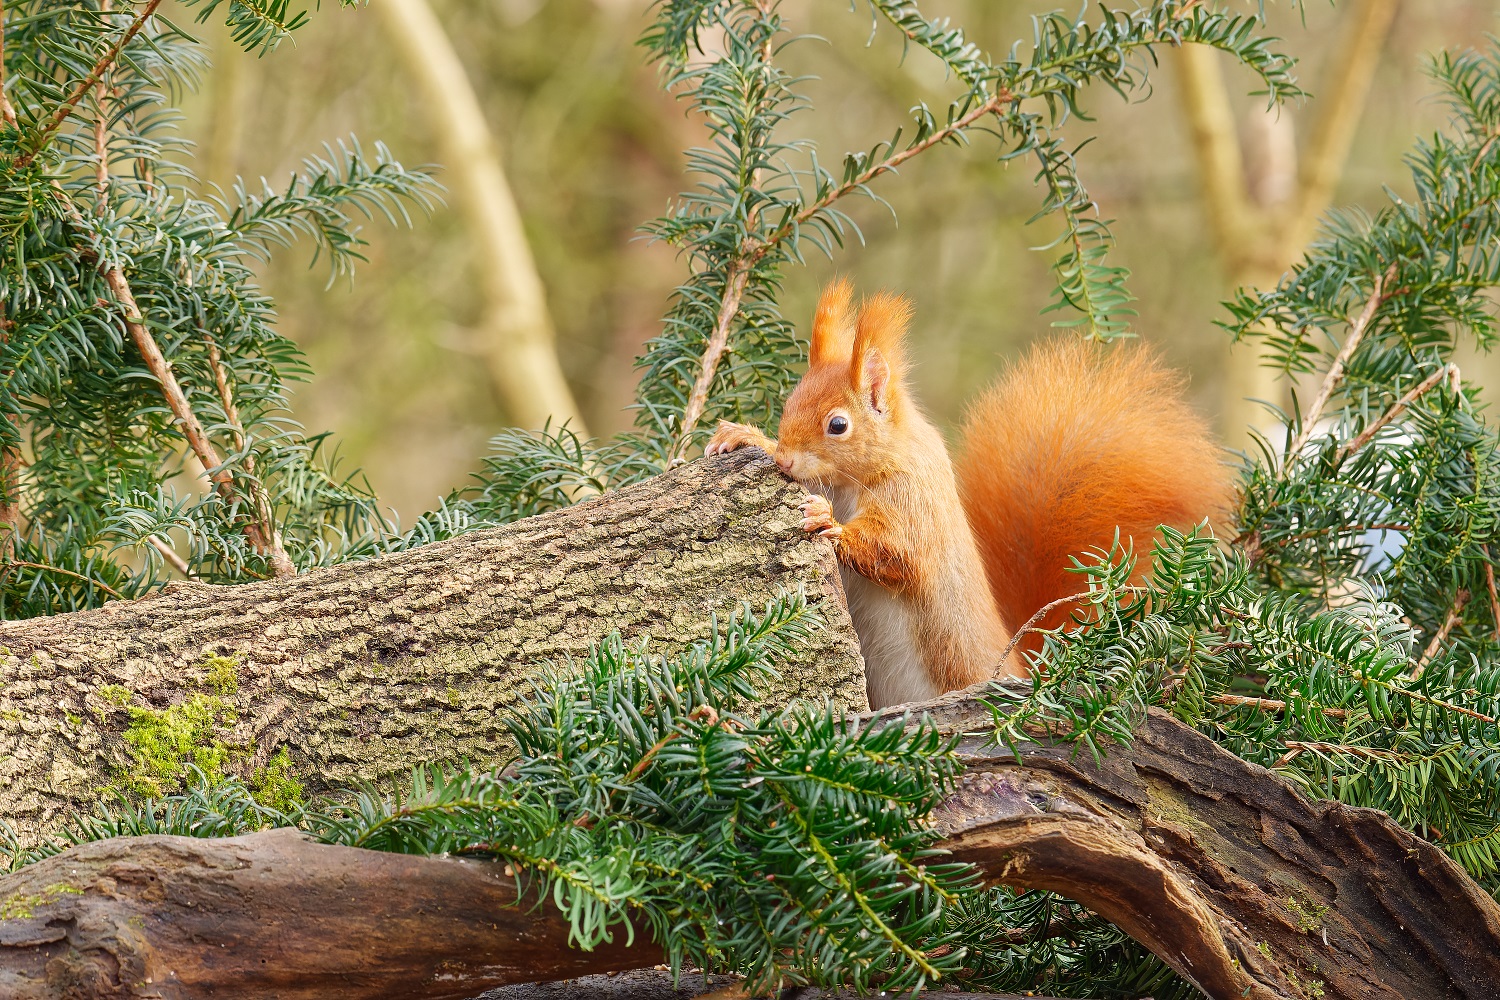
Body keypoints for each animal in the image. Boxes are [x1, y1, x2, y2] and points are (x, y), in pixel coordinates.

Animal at [705, 277, 1230, 707]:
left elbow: (899, 552)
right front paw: (746, 437)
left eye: (838, 425)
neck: (857, 480)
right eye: (789, 402)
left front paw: (827, 521)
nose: (787, 461)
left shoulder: (915, 501)